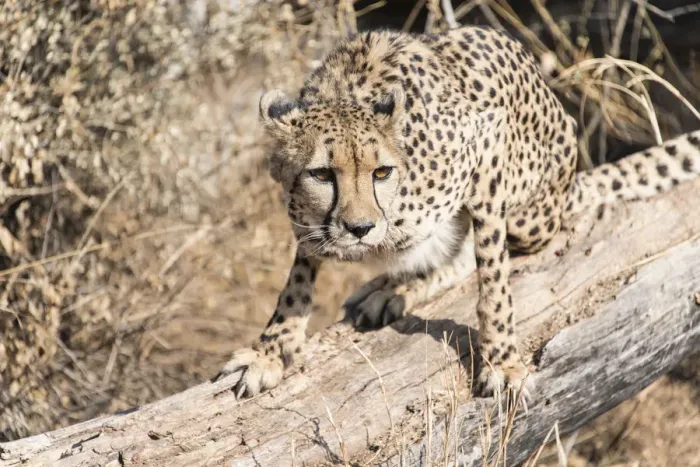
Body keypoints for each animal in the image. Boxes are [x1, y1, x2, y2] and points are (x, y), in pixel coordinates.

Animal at [214, 26, 700, 400]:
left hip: (531, 212)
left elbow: (493, 281)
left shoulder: (486, 145)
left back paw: (397, 288)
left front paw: (503, 361)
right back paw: (389, 285)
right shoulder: (307, 220)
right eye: (321, 174)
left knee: (482, 251)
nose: (361, 228)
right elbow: (298, 277)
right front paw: (270, 349)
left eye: (381, 172)